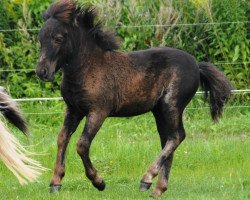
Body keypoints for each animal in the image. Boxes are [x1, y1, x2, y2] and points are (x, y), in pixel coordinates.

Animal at [35, 0, 232, 197]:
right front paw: (55, 182)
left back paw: (147, 179)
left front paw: (99, 182)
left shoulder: (98, 111)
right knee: (168, 139)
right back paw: (158, 189)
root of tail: (197, 66)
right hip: (159, 111)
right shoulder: (74, 110)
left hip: (172, 105)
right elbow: (62, 138)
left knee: (177, 136)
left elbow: (82, 144)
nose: (42, 72)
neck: (88, 68)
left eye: (58, 38)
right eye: (40, 39)